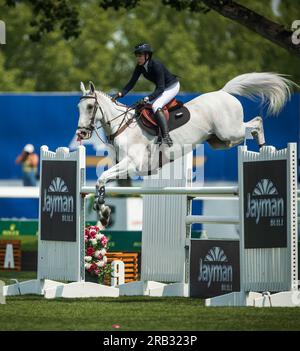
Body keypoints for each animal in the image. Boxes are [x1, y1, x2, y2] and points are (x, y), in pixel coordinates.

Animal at [77, 72, 296, 226]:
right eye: (78, 108)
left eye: (90, 107)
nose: (81, 134)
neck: (122, 127)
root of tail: (224, 92)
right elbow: (100, 182)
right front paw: (103, 213)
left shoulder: (131, 165)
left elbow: (101, 178)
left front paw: (103, 212)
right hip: (219, 141)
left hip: (229, 131)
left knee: (255, 123)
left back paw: (264, 146)